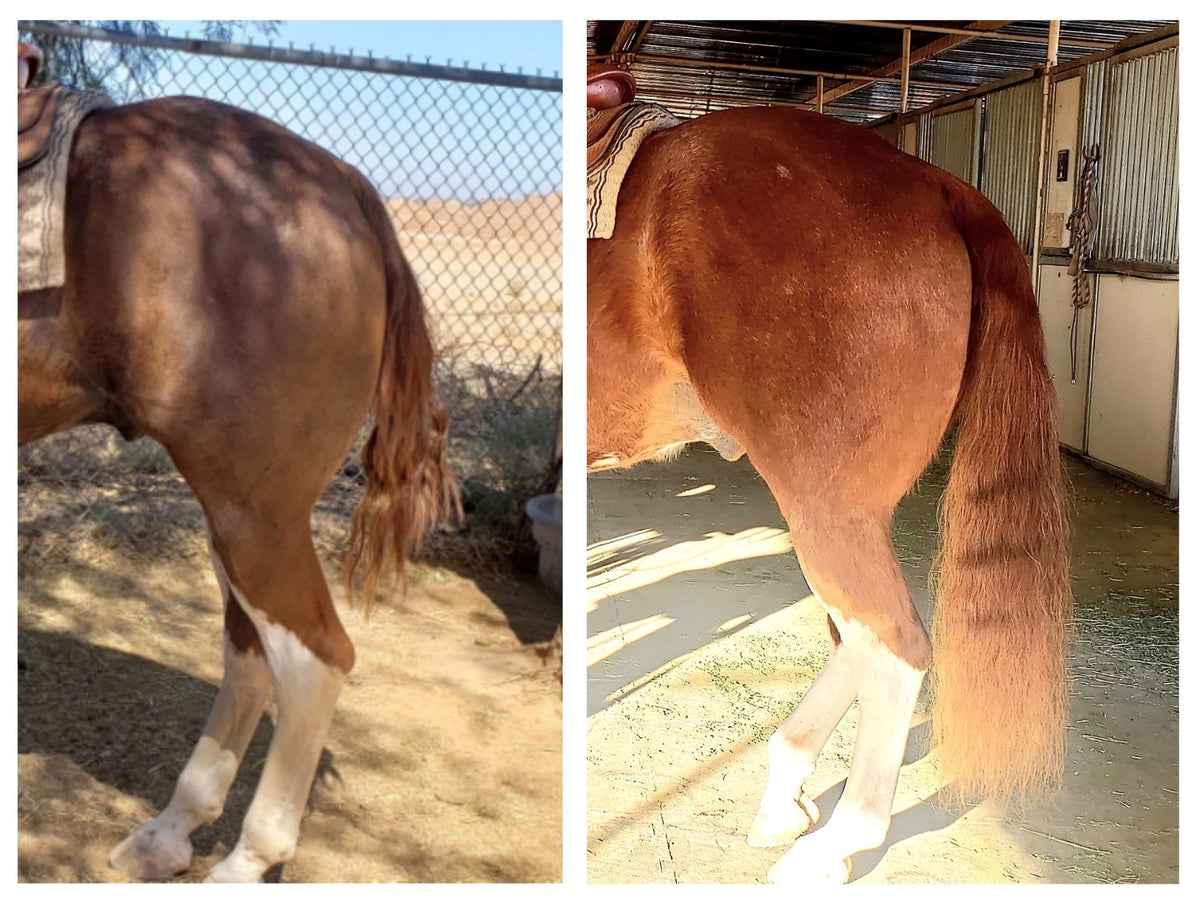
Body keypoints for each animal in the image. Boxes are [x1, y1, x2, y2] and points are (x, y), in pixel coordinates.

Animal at [18, 94, 457, 881]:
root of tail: (347, 186)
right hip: (238, 515)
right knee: (252, 656)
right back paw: (170, 831)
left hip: (256, 514)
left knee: (315, 660)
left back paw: (247, 859)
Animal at [587, 105, 1072, 883]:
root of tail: (934, 183)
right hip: (844, 513)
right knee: (860, 633)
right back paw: (785, 793)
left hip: (825, 508)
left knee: (894, 644)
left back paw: (839, 841)